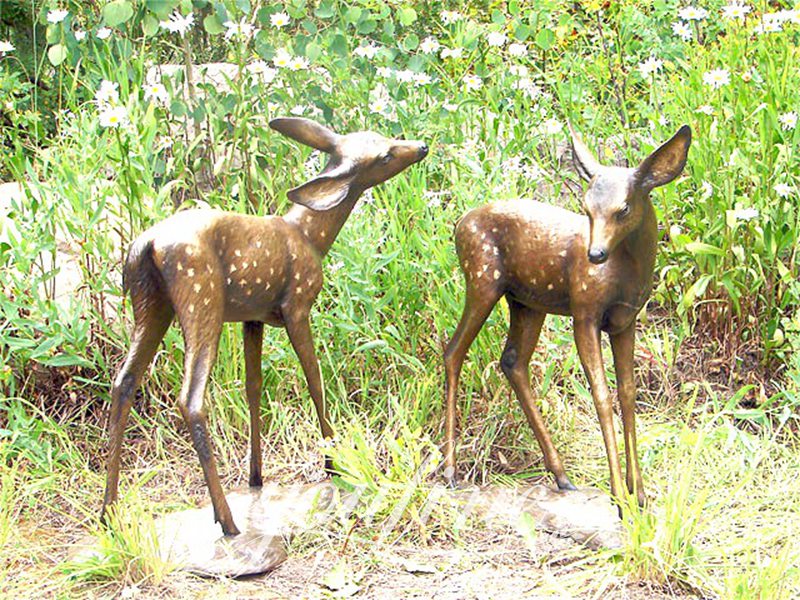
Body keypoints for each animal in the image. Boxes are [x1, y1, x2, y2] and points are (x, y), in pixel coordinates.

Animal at [104, 117, 432, 536]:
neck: (310, 237)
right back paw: (227, 521)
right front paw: (334, 466)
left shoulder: (252, 317)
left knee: (123, 382)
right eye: (385, 155)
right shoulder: (297, 306)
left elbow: (253, 387)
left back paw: (109, 512)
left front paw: (256, 478)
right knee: (190, 399)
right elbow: (314, 379)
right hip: (201, 298)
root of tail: (146, 245)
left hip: (150, 304)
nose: (421, 146)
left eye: (382, 138)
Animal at [440, 124, 692, 508]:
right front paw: (619, 496)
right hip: (482, 279)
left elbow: (628, 393)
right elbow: (601, 395)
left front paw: (640, 494)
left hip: (527, 302)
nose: (595, 254)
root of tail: (458, 224)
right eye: (586, 207)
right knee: (454, 351)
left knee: (512, 361)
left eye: (624, 208)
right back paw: (451, 470)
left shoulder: (625, 321)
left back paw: (561, 476)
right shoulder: (584, 313)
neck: (626, 276)